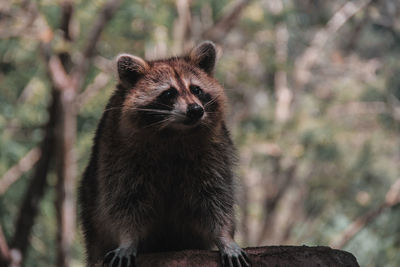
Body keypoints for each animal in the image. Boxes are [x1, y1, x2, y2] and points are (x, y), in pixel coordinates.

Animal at [79, 42, 250, 267]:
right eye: (169, 93)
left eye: (196, 89)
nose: (195, 110)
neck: (174, 133)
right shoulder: (118, 154)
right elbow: (124, 201)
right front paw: (127, 239)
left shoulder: (214, 151)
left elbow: (216, 196)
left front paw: (224, 237)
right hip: (91, 216)